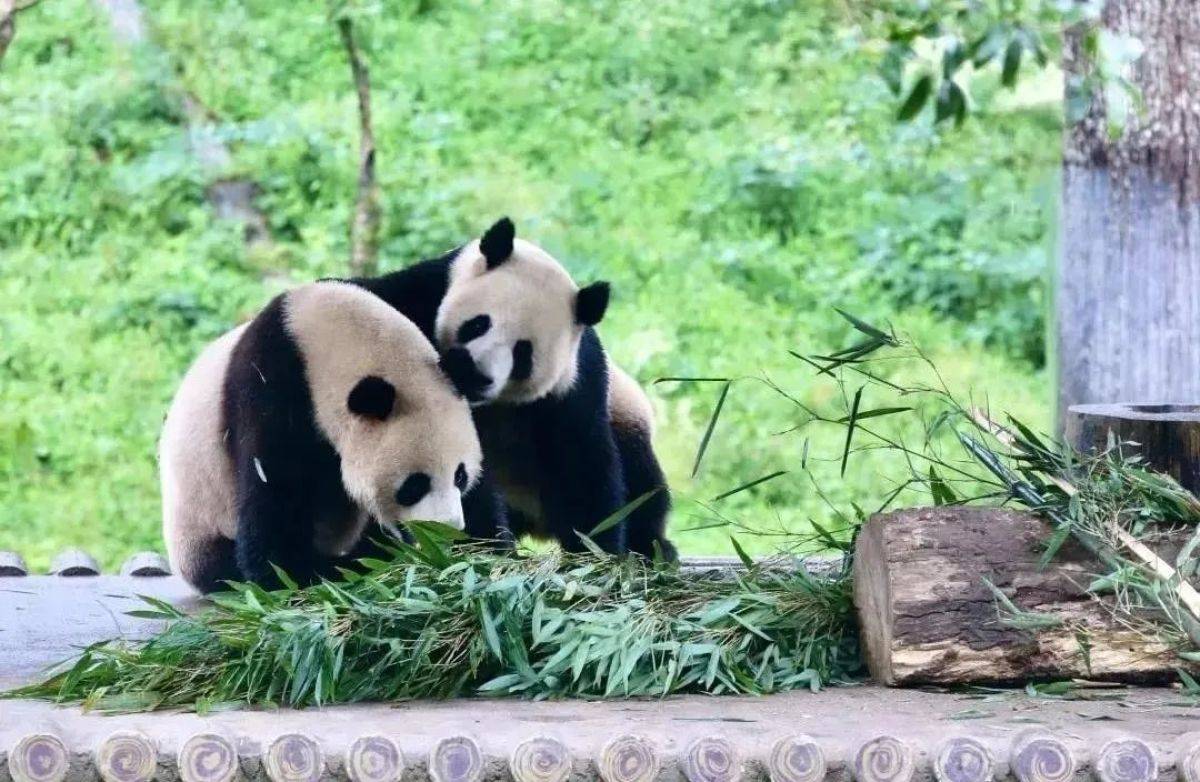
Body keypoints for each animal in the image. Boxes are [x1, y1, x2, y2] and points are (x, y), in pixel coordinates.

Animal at [162, 278, 484, 590]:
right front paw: (331, 568)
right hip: (199, 523)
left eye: (460, 476)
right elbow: (273, 508)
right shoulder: (271, 390)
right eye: (414, 486)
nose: (448, 529)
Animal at [350, 219, 681, 558]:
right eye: (478, 324)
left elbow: (581, 465)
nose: (475, 373)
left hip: (626, 413)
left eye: (523, 352)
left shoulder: (574, 383)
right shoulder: (416, 304)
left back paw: (653, 547)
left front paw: (595, 550)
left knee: (643, 481)